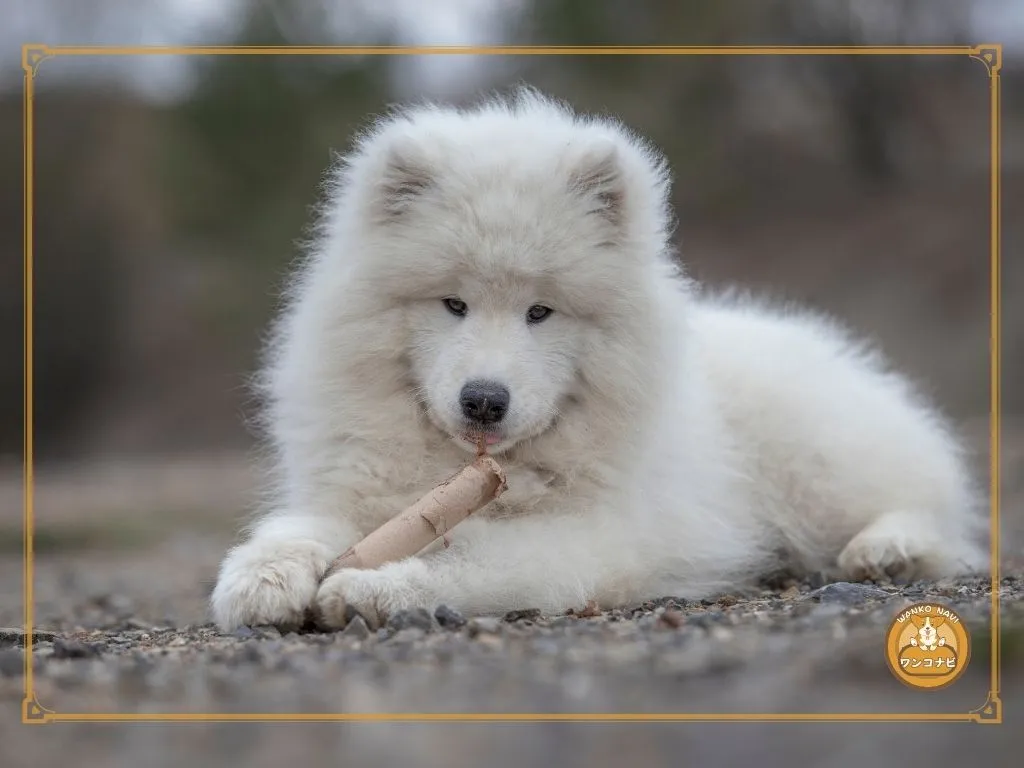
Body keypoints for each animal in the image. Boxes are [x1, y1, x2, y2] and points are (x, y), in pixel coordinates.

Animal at [205, 88, 983, 630]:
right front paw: (260, 579)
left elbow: (469, 558)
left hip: (816, 465)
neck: (466, 469)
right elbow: (301, 528)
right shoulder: (357, 494)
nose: (483, 400)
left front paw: (371, 588)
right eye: (453, 303)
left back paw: (887, 549)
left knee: (927, 505)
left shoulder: (587, 537)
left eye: (539, 312)